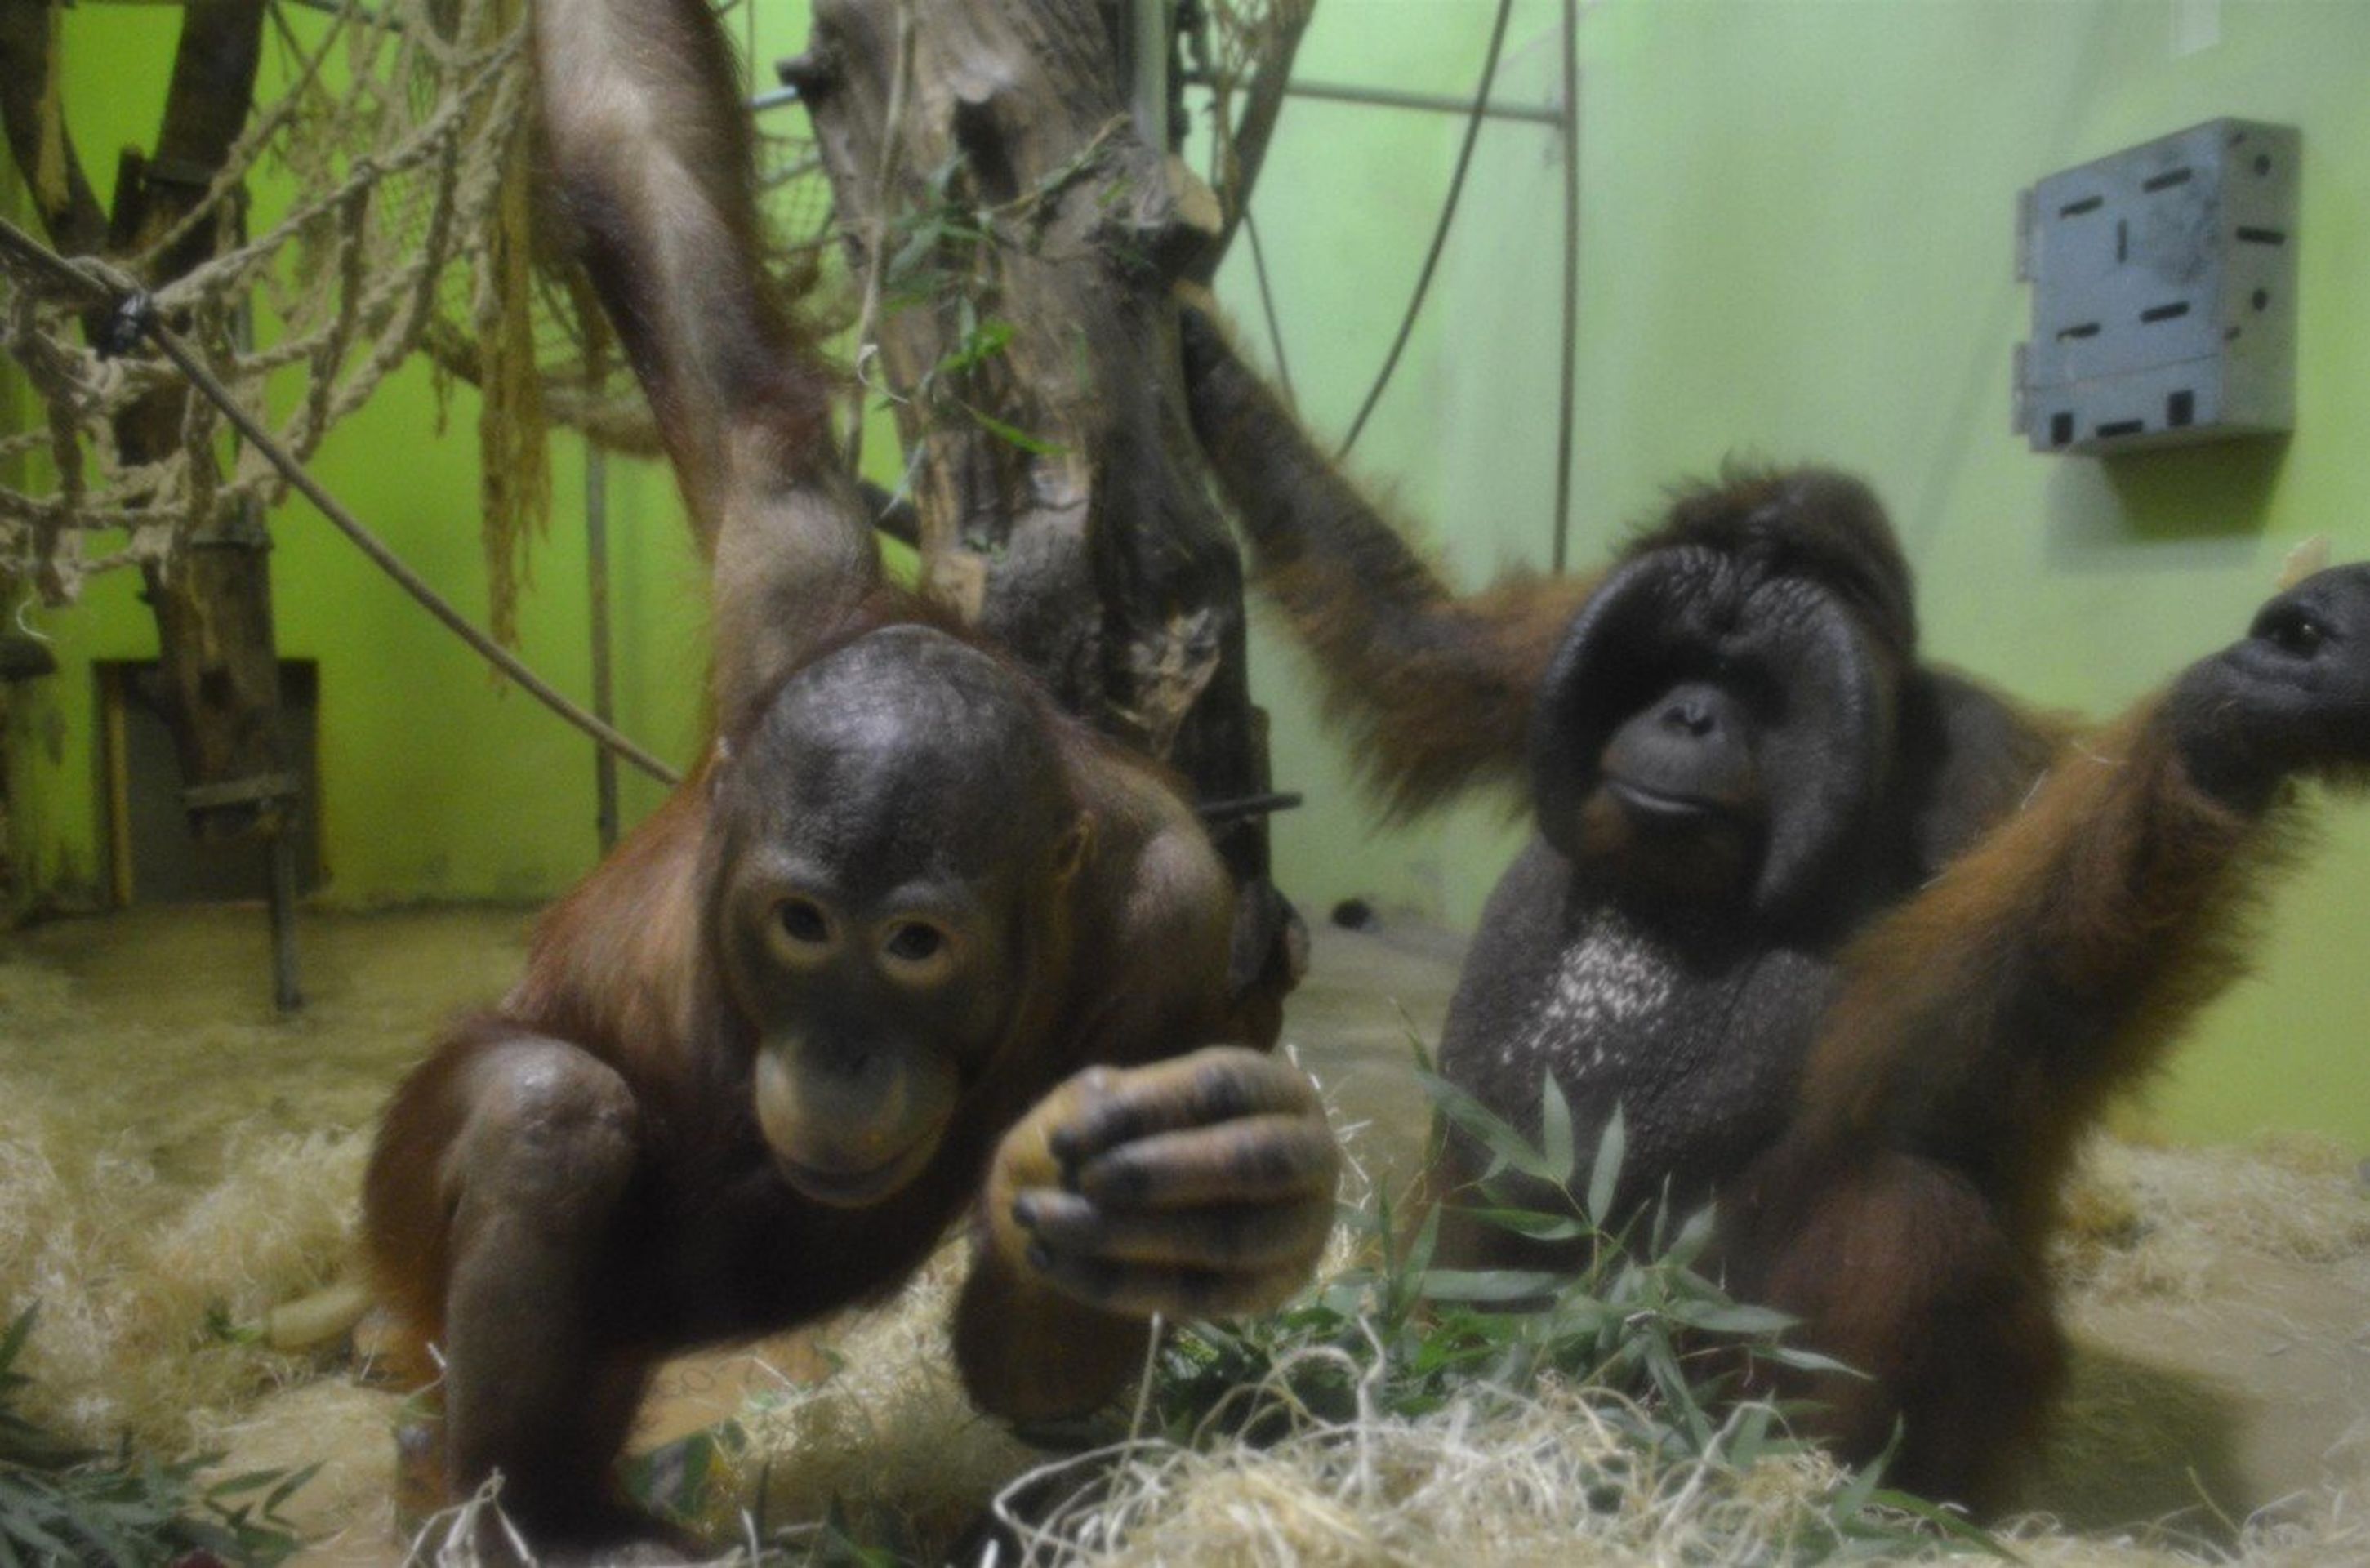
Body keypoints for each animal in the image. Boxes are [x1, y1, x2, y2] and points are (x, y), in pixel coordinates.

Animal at [358, 8, 1337, 1560]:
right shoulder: (787, 568)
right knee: (543, 1113)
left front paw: (1211, 1199)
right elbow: (646, 182)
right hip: (397, 1237)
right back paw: (531, 1510)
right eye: (803, 926)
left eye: (917, 946)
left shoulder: (1179, 912)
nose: (843, 1053)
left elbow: (1034, 1350)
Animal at [1175, 307, 2370, 1510]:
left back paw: (1816, 1488)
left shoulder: (1992, 771)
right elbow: (1420, 649)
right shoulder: (1549, 648)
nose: (1689, 715)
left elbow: (1989, 1034)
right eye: (1673, 664)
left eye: (1751, 685)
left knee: (1913, 1210)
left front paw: (2241, 709)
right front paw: (1193, 339)